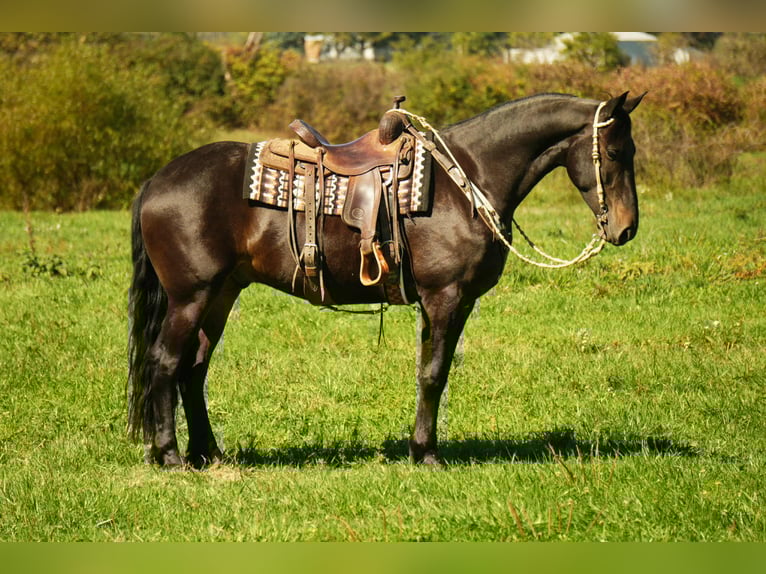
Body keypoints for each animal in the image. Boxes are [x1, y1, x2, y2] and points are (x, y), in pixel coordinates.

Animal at [128, 91, 645, 467]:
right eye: (616, 150)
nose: (626, 228)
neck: (467, 178)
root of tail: (156, 181)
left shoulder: (450, 302)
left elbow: (431, 370)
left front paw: (420, 448)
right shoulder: (445, 297)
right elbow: (433, 374)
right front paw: (427, 454)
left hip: (221, 295)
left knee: (194, 369)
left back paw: (208, 454)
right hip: (190, 297)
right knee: (166, 363)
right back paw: (170, 456)